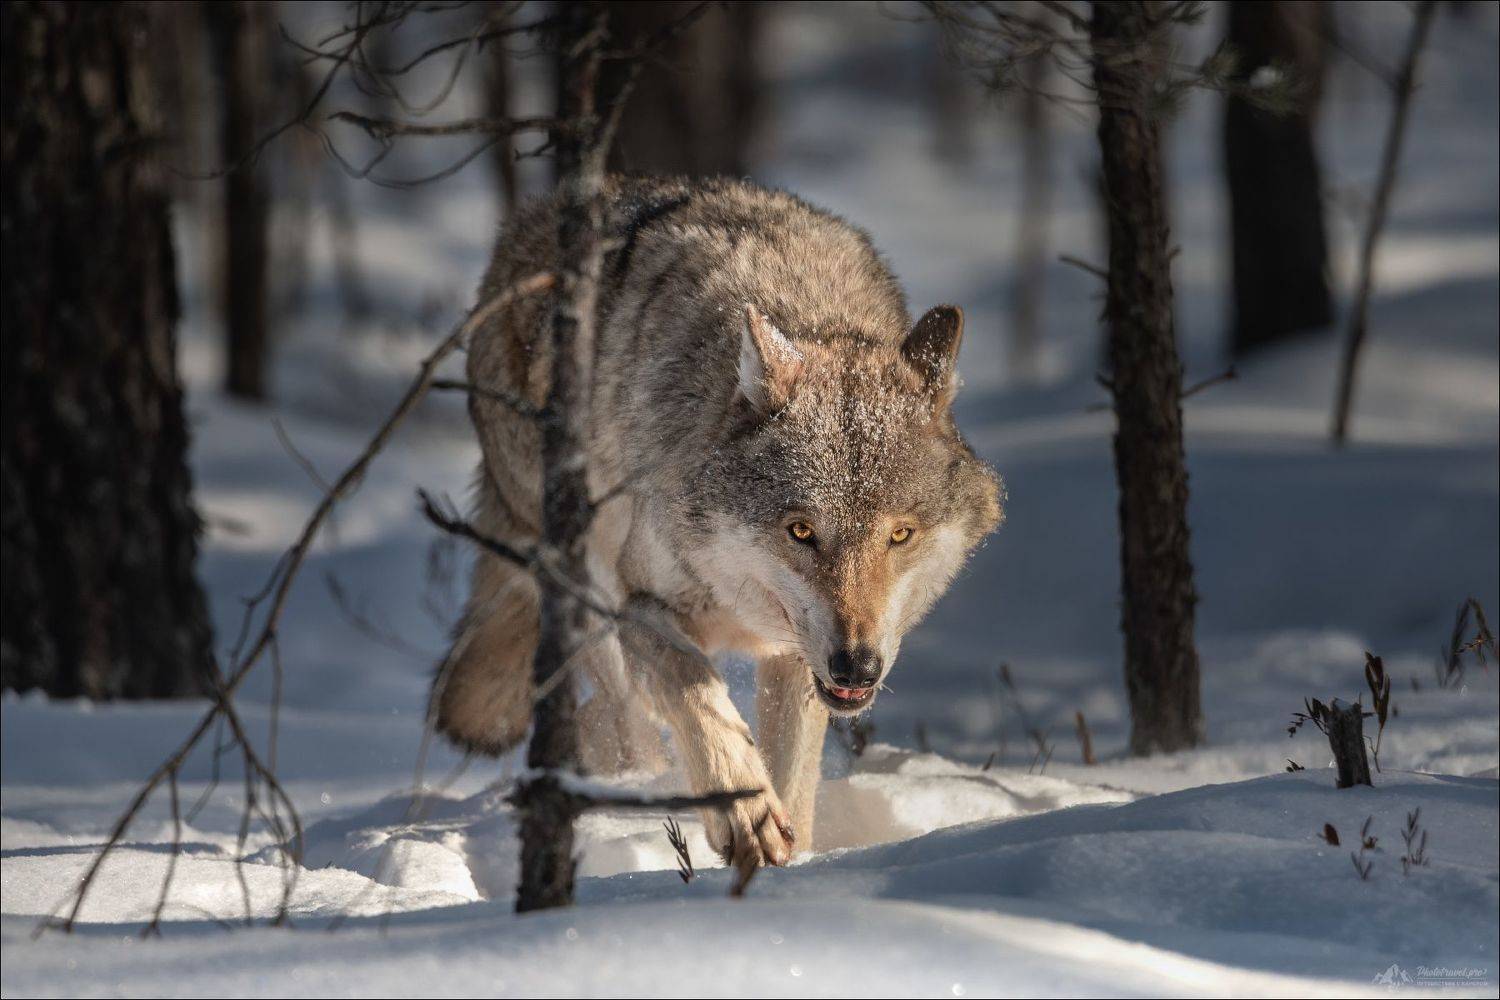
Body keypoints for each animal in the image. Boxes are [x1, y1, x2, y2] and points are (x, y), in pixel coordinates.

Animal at [432, 176, 1003, 869]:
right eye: (801, 531)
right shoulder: (639, 604)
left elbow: (794, 778)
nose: (857, 667)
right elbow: (694, 687)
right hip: (583, 595)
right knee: (625, 720)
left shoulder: (795, 658)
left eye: (900, 535)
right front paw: (744, 813)